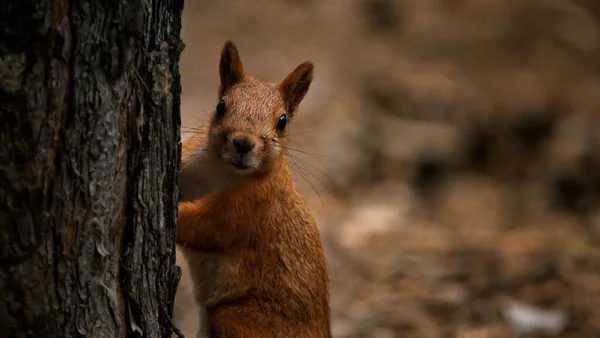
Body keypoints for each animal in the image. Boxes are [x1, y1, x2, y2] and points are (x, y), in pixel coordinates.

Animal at [176, 41, 330, 336]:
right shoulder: (191, 161)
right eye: (220, 106)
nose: (243, 143)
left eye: (282, 121)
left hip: (236, 318)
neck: (223, 171)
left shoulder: (251, 207)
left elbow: (207, 227)